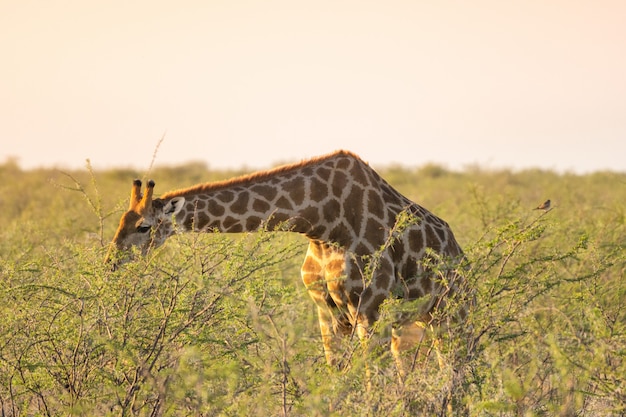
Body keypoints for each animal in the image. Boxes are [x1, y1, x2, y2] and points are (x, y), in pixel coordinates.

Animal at [105, 150, 466, 370]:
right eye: (121, 221)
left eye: (143, 227)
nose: (111, 263)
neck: (322, 223)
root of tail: (460, 255)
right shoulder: (327, 310)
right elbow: (338, 375)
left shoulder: (369, 306)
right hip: (415, 322)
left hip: (451, 313)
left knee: (456, 368)